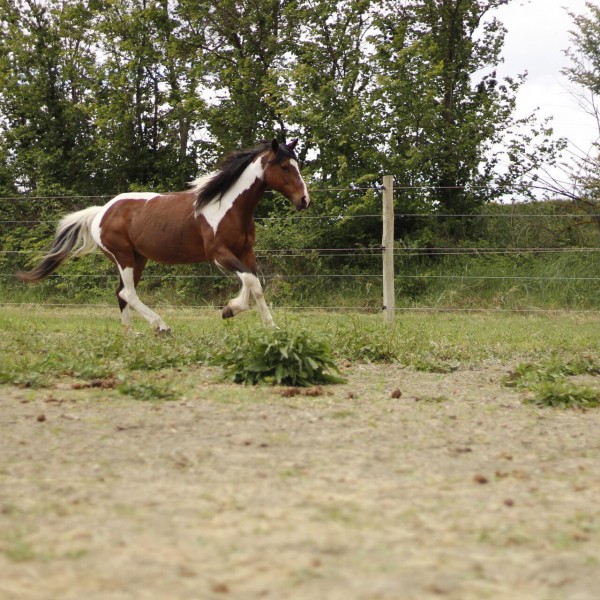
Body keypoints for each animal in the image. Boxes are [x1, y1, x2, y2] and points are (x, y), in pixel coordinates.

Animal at [18, 139, 310, 332]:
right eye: (285, 167)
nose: (304, 200)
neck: (228, 206)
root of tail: (101, 211)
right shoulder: (219, 254)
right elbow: (250, 281)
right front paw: (231, 310)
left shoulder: (245, 252)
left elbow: (255, 284)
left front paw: (267, 324)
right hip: (123, 257)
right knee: (128, 293)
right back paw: (161, 326)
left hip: (138, 259)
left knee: (120, 293)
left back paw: (131, 335)